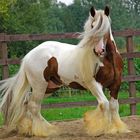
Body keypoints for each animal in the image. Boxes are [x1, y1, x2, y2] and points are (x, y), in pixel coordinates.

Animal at [0, 6, 129, 137]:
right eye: (93, 26)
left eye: (106, 27)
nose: (99, 50)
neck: (108, 60)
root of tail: (28, 56)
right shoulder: (94, 84)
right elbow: (104, 104)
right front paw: (103, 129)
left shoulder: (116, 84)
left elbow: (114, 106)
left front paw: (118, 129)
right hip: (39, 85)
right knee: (34, 106)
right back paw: (46, 130)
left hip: (50, 87)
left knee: (27, 101)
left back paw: (28, 129)